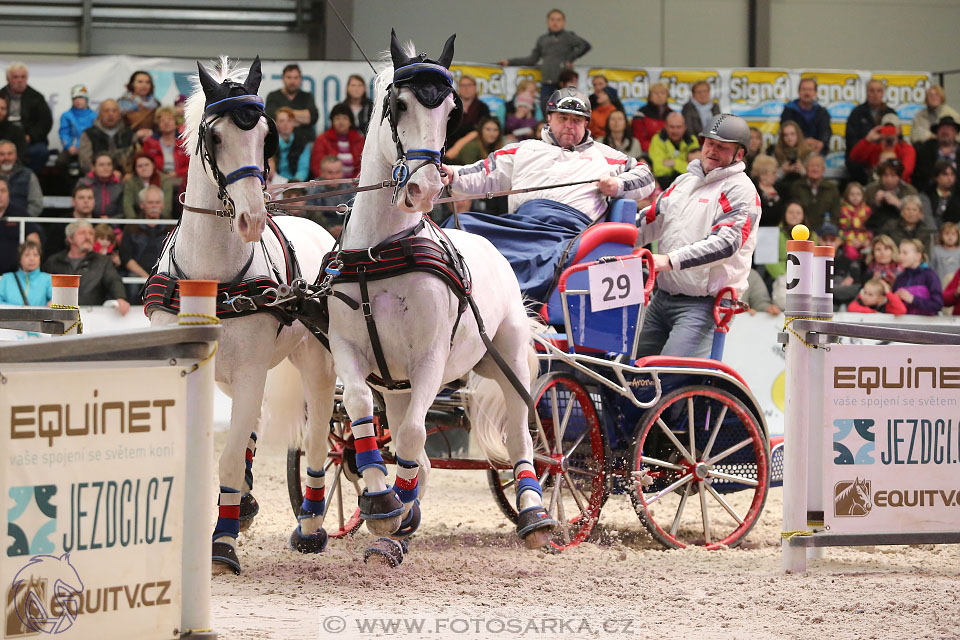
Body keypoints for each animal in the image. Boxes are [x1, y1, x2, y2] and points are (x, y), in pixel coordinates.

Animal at [150, 56, 342, 576]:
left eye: (264, 136)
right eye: (214, 137)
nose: (252, 218)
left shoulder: (254, 369)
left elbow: (231, 458)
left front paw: (222, 543)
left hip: (315, 361)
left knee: (319, 431)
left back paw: (312, 524)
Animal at [326, 32, 560, 560]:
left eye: (451, 110)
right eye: (399, 104)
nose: (426, 187)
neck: (380, 251)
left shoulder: (429, 359)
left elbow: (415, 433)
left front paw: (390, 507)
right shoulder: (350, 351)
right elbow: (361, 407)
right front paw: (381, 500)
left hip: (508, 358)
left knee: (521, 435)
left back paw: (535, 514)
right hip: (398, 385)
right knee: (407, 442)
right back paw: (400, 516)